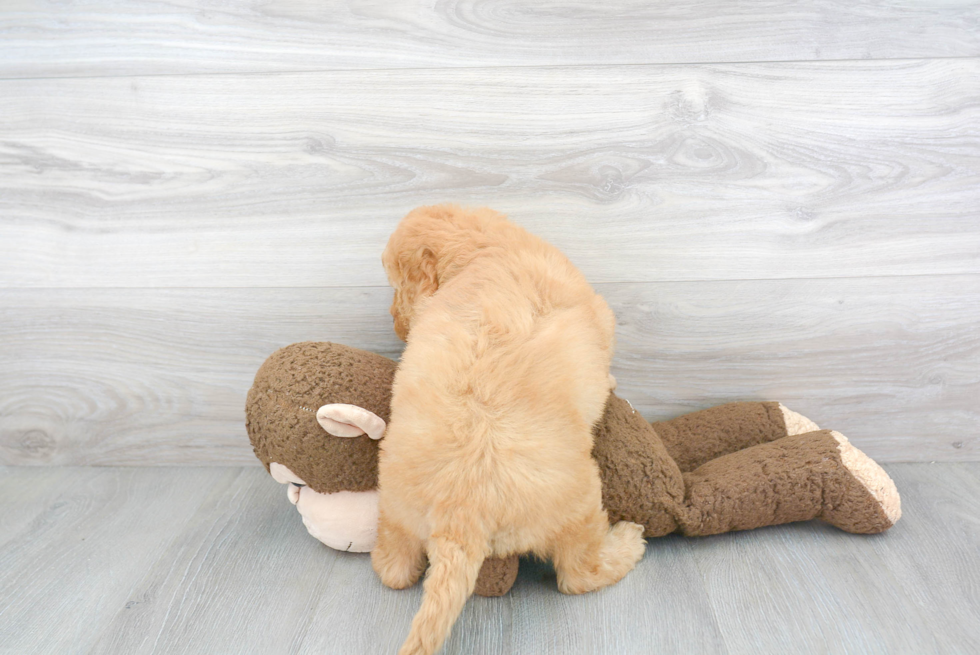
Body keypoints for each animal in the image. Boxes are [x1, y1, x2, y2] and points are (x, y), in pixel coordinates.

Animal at [374, 205, 644, 655]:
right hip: (580, 507)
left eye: (396, 287)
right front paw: (611, 384)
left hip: (395, 507)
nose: (395, 325)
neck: (484, 248)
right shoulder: (600, 320)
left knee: (393, 568)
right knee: (579, 573)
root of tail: (460, 515)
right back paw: (629, 542)